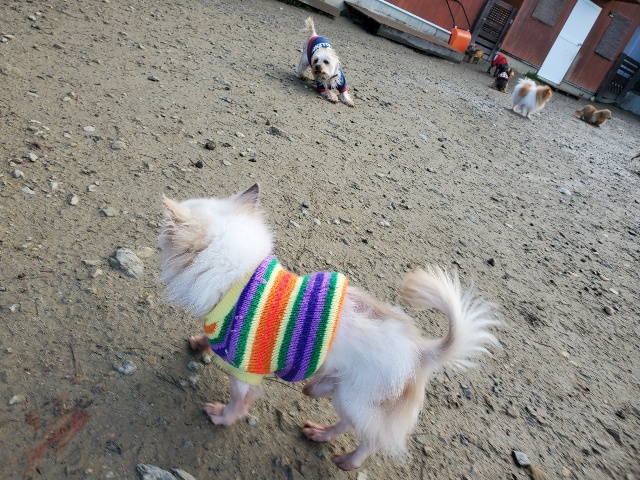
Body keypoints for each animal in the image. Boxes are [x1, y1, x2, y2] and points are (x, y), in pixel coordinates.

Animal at [158, 184, 499, 471]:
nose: (158, 231)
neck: (241, 279)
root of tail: (424, 352)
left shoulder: (246, 370)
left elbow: (239, 400)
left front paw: (223, 417)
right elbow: (209, 339)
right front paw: (201, 342)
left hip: (356, 397)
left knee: (370, 439)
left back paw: (350, 460)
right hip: (347, 395)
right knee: (349, 424)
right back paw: (321, 432)